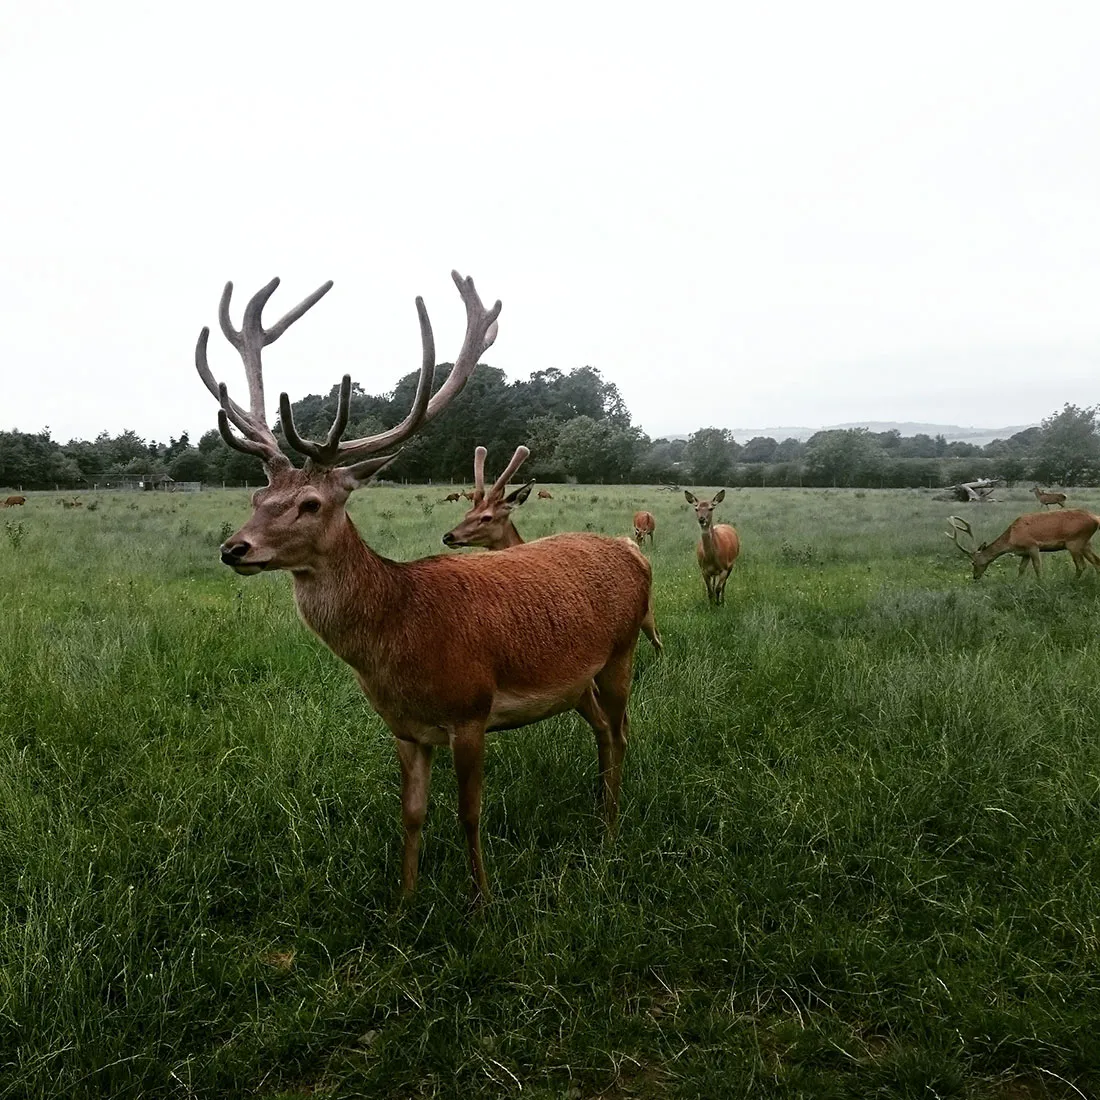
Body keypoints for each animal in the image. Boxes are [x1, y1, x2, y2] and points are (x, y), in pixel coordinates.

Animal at [442, 446, 662, 654]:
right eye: (467, 513)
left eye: (487, 517)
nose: (448, 536)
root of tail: (634, 546)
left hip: (647, 609)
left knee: (658, 640)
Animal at [946, 510, 1100, 580]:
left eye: (973, 562)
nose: (975, 577)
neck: (1012, 539)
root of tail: (1095, 518)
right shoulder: (1025, 553)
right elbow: (1021, 569)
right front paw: (1018, 583)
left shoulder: (1032, 545)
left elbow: (1038, 568)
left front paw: (1041, 584)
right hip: (1086, 543)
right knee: (1096, 561)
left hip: (1075, 541)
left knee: (1081, 566)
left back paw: (1073, 582)